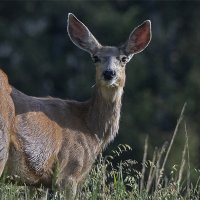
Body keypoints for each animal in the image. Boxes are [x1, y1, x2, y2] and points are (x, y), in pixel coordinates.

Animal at [0, 12, 151, 198]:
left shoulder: (37, 182)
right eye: (95, 57)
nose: (109, 73)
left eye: (123, 59)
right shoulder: (69, 171)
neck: (90, 128)